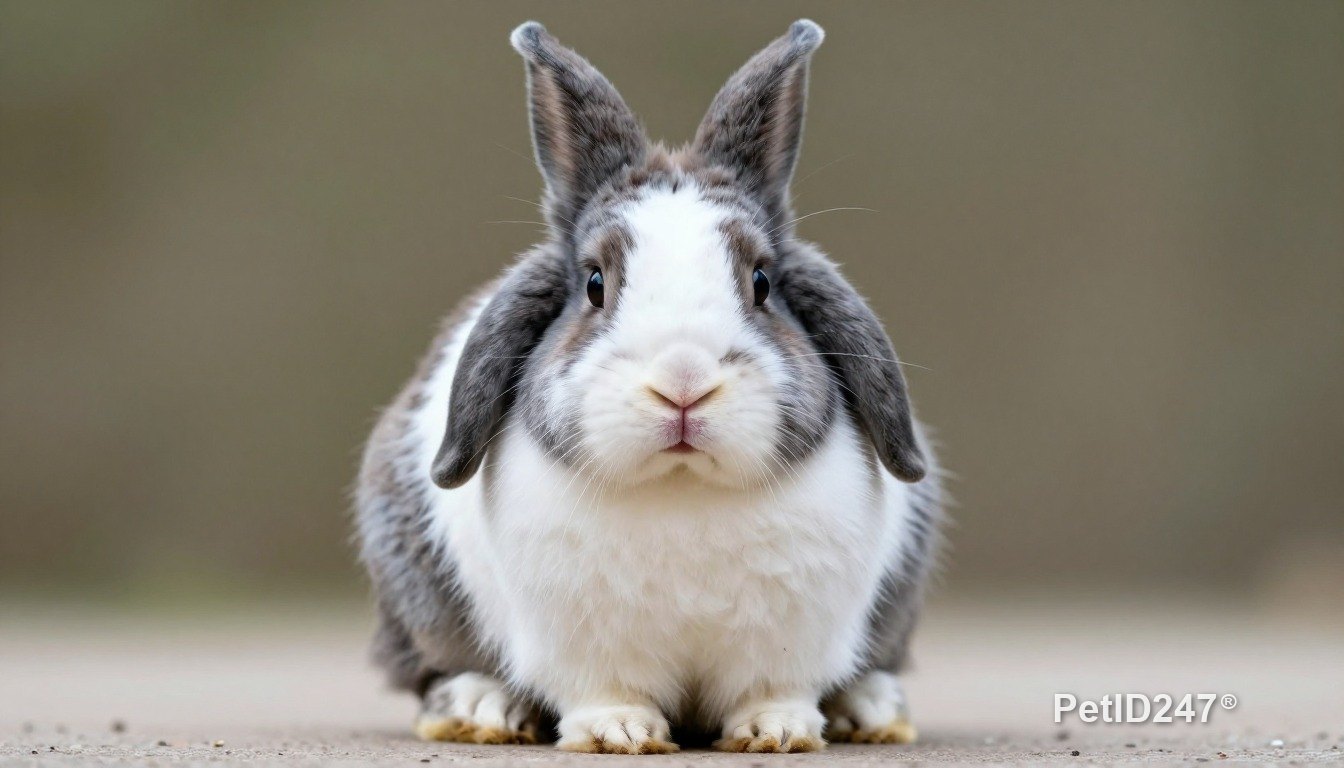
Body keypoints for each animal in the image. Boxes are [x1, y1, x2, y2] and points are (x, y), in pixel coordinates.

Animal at [355, 19, 943, 754]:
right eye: (594, 284)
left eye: (762, 283)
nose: (682, 383)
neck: (680, 486)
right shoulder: (579, 645)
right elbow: (603, 691)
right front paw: (621, 734)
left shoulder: (791, 640)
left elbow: (773, 689)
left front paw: (776, 732)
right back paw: (481, 709)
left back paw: (870, 711)